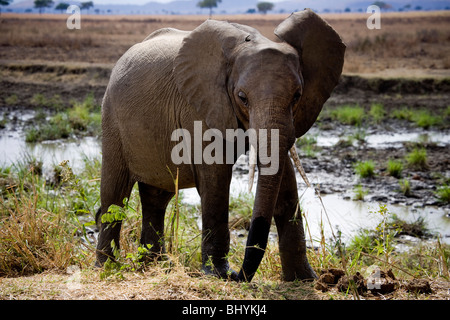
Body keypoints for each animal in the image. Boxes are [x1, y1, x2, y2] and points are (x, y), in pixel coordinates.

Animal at [96, 8, 346, 282]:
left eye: (297, 96)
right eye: (242, 97)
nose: (238, 274)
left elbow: (285, 179)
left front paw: (305, 280)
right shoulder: (198, 105)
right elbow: (215, 178)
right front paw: (217, 274)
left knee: (156, 198)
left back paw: (154, 265)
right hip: (112, 120)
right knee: (114, 193)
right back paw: (106, 267)